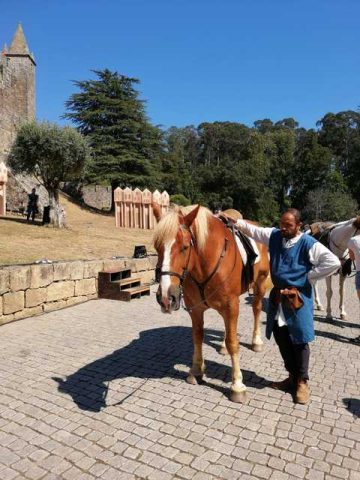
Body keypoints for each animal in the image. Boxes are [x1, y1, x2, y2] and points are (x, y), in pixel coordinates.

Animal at [153, 202, 270, 402]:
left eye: (185, 247)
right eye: (156, 247)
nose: (167, 298)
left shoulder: (231, 305)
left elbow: (233, 343)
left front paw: (237, 385)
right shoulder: (196, 309)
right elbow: (198, 336)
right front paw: (197, 370)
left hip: (260, 285)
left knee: (256, 309)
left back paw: (256, 341)